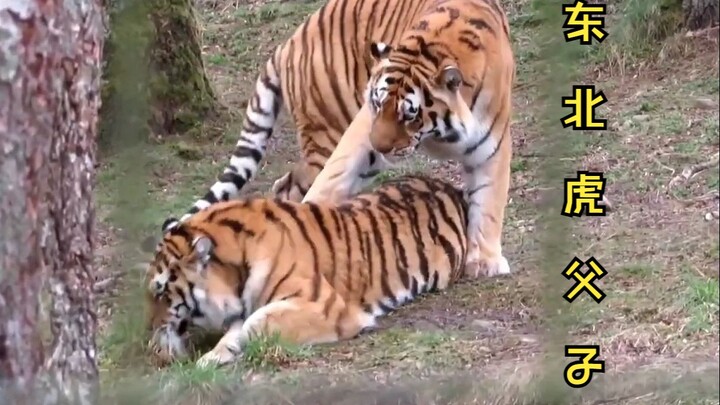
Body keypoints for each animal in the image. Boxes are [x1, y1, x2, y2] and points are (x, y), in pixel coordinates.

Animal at [144, 174, 469, 368]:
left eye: (161, 293)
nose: (149, 330)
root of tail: (449, 186)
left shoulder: (325, 307)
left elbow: (257, 322)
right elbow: (237, 330)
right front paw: (210, 359)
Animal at [160, 0, 515, 280]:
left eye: (409, 115)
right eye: (378, 104)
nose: (380, 145)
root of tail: (289, 42)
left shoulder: (491, 144)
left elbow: (489, 202)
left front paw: (485, 260)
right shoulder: (361, 127)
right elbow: (333, 177)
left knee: (286, 184)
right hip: (328, 134)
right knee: (296, 184)